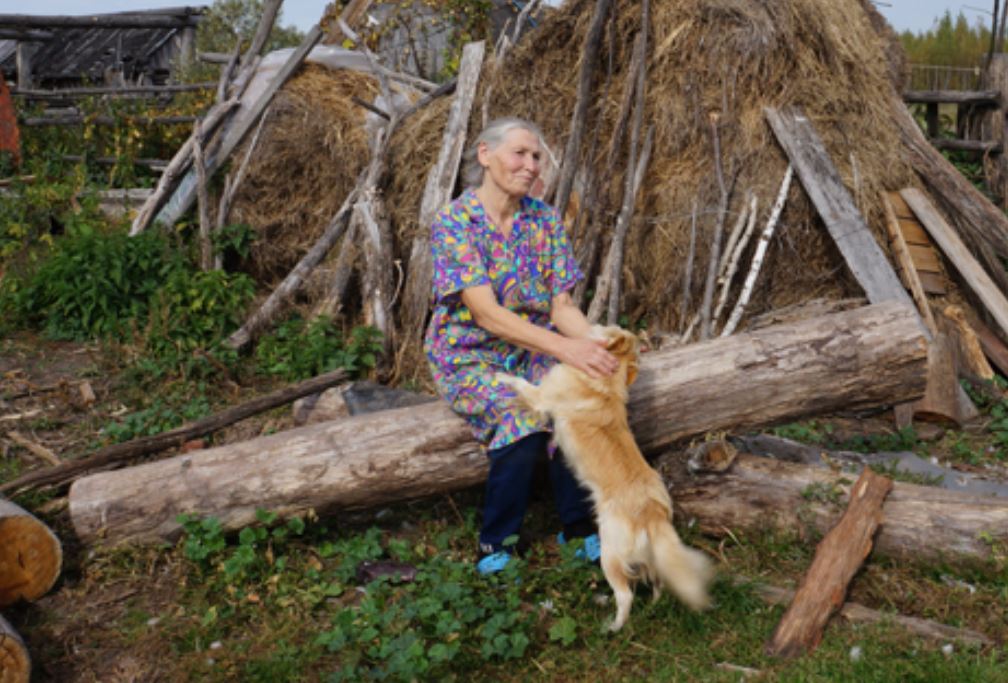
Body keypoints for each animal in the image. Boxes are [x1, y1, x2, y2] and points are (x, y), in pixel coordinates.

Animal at [493, 324, 709, 632]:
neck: (605, 379)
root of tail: (652, 513)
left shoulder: (540, 397)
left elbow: (521, 383)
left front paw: (501, 376)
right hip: (649, 557)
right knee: (657, 581)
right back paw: (653, 607)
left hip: (610, 554)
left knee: (625, 595)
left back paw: (612, 627)